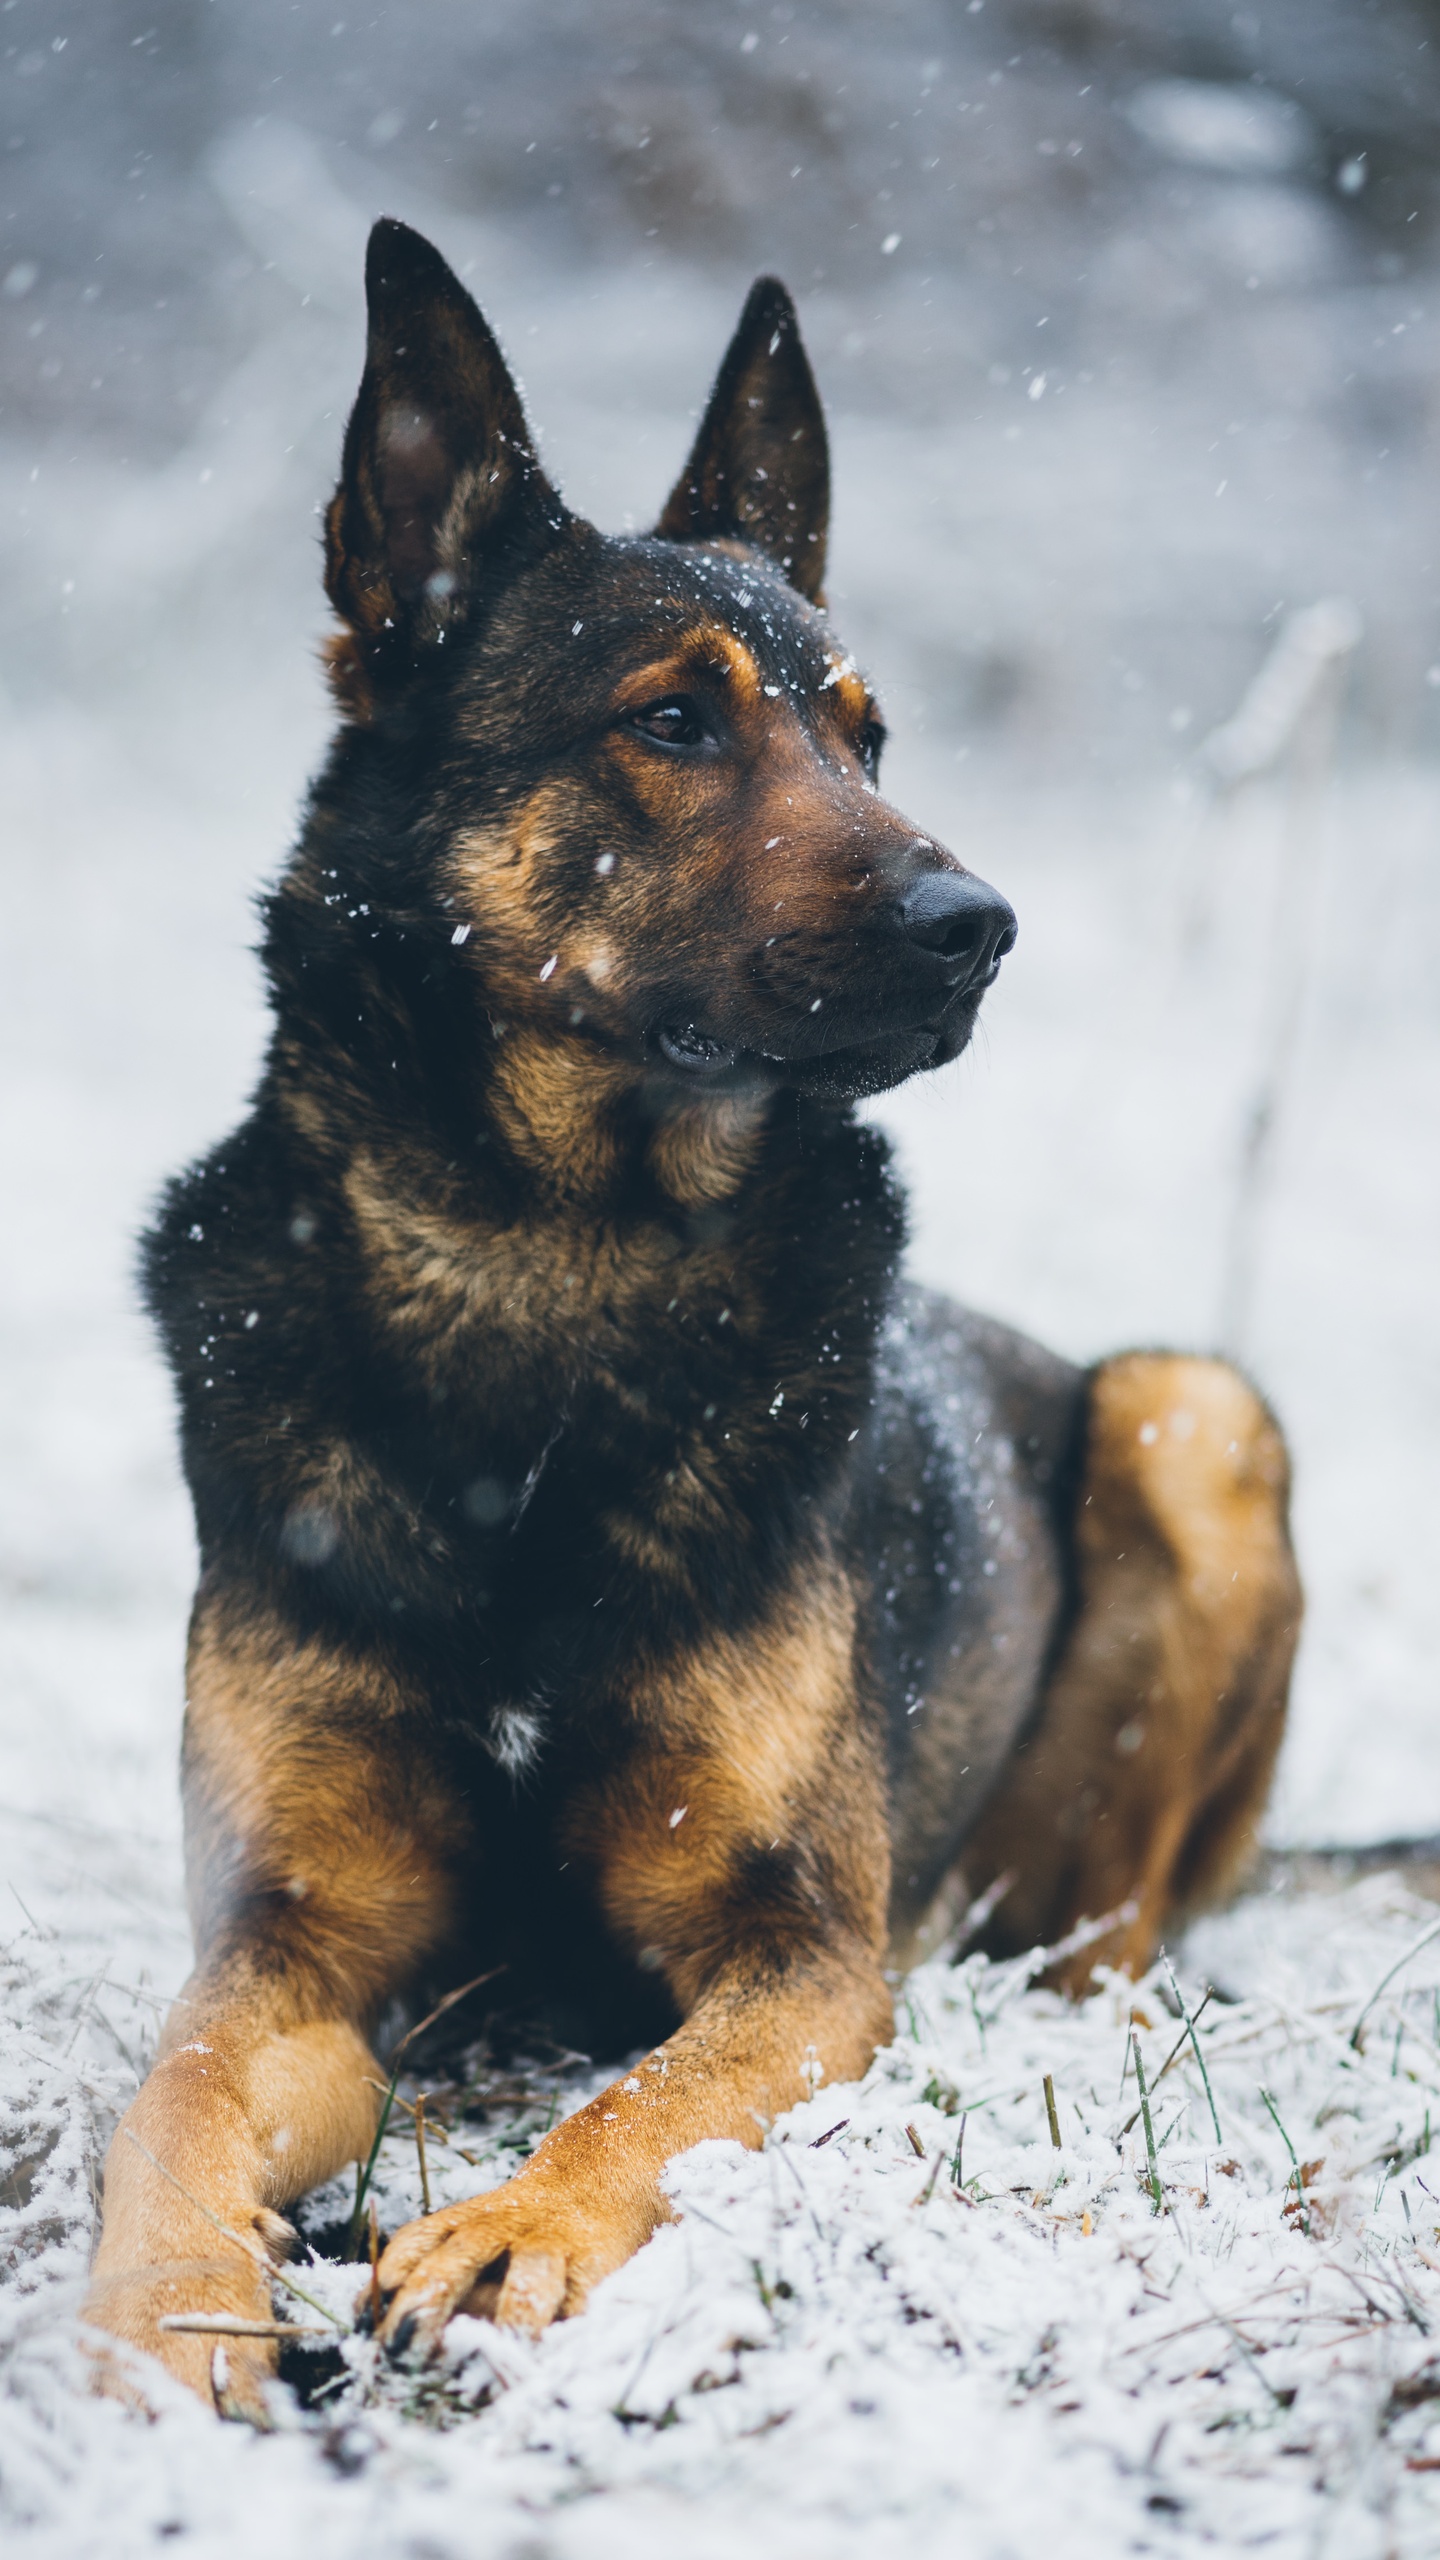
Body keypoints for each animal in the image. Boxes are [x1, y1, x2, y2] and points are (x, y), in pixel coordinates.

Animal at [89, 220, 1301, 2416]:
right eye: (672, 720)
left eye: (868, 736)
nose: (982, 926)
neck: (547, 1268)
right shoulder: (291, 1949)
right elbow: (182, 2089)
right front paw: (161, 2314)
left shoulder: (799, 1952)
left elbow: (645, 2097)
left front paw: (510, 2230)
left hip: (1196, 1417)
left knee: (1106, 1943)